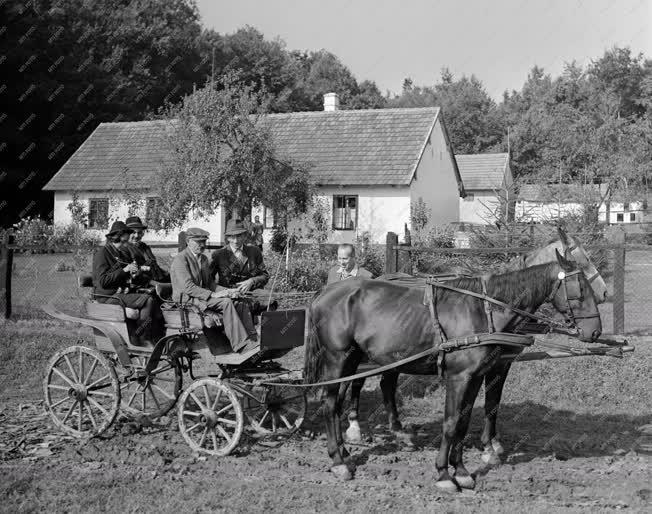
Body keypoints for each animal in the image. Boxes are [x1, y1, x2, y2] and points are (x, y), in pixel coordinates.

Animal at [306, 249, 600, 488]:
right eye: (580, 287)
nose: (595, 331)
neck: (486, 310)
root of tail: (325, 293)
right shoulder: (458, 378)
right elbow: (450, 423)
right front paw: (444, 474)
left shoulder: (477, 376)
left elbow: (465, 421)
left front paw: (461, 470)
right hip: (337, 358)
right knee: (330, 405)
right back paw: (339, 461)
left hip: (355, 359)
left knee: (344, 398)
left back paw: (346, 452)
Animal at [344, 226, 608, 462]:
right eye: (583, 261)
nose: (604, 294)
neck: (494, 306)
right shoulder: (489, 364)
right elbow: (488, 401)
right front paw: (488, 447)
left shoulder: (500, 363)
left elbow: (493, 401)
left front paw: (493, 443)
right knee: (356, 381)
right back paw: (355, 427)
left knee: (386, 383)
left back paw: (398, 431)